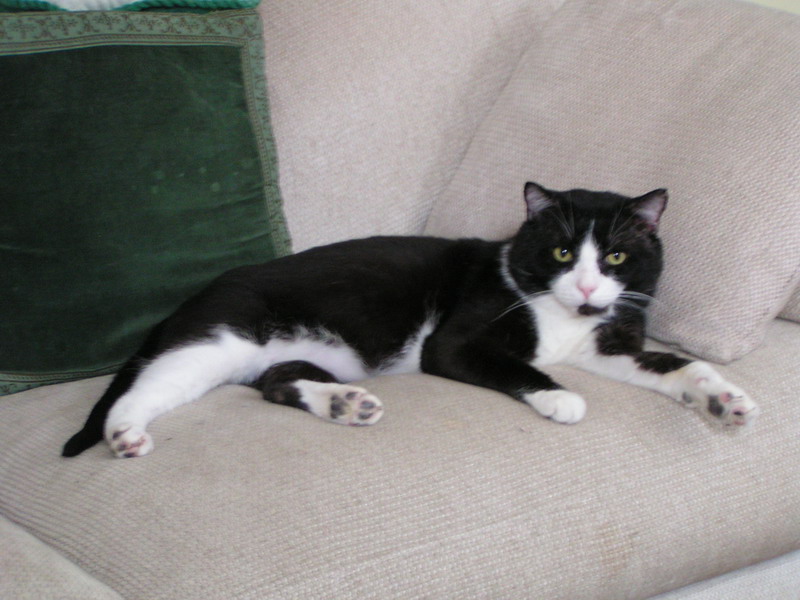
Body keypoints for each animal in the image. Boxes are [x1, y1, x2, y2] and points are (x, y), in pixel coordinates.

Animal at [61, 183, 756, 460]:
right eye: (561, 253)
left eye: (615, 257)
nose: (587, 286)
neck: (561, 314)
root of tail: (196, 296)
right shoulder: (453, 342)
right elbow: (510, 365)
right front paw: (561, 399)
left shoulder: (607, 342)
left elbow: (677, 364)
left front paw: (724, 400)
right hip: (225, 337)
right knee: (146, 387)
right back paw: (125, 435)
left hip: (276, 352)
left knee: (274, 381)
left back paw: (344, 403)